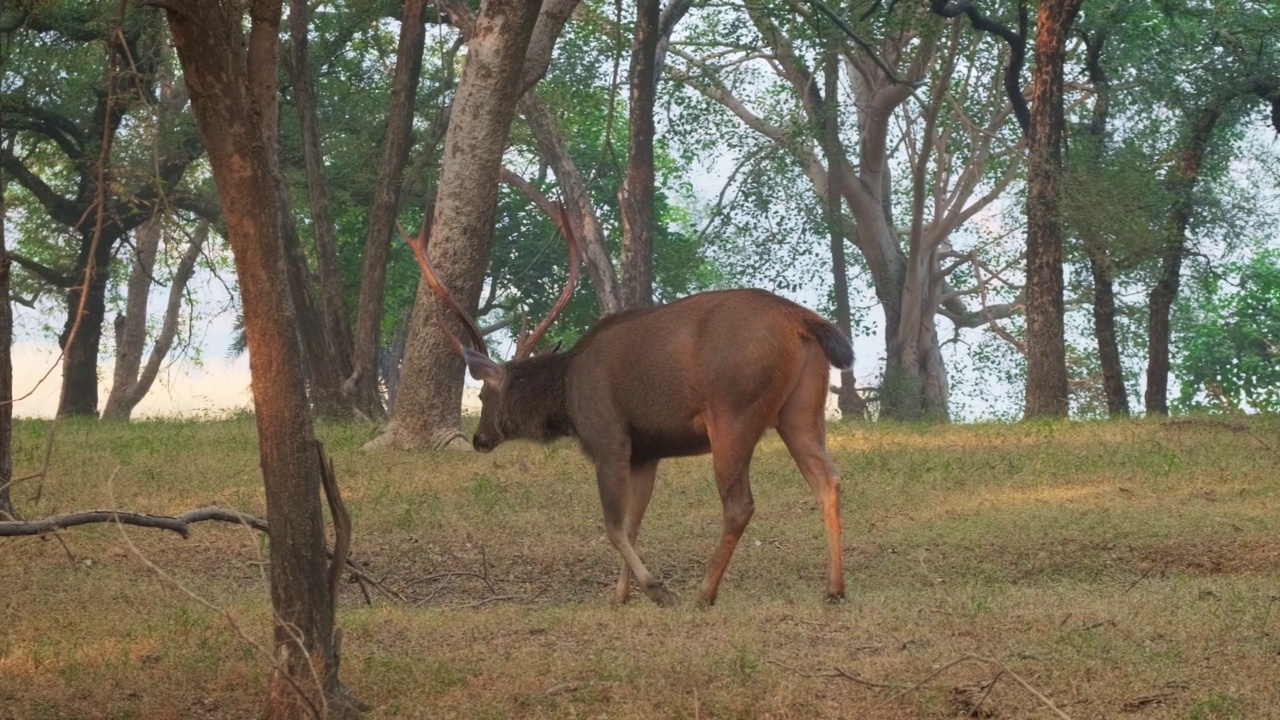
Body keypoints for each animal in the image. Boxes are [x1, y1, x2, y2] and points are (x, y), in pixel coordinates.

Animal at [399, 208, 849, 604]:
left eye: (482, 395)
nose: (480, 439)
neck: (567, 397)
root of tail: (801, 320)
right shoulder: (646, 451)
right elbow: (633, 524)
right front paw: (621, 595)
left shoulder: (610, 438)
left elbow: (614, 526)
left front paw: (656, 590)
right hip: (803, 411)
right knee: (827, 480)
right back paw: (834, 588)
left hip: (733, 411)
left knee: (740, 504)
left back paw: (704, 593)